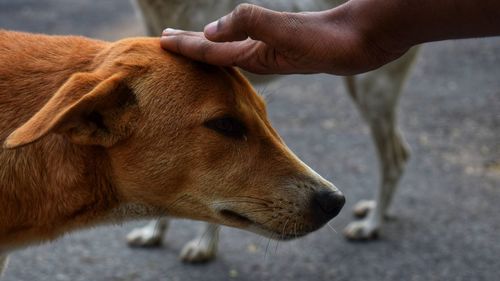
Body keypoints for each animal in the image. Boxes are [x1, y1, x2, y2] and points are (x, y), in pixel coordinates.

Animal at [128, 0, 418, 262]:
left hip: (373, 92)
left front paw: (204, 245)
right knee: (402, 152)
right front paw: (153, 231)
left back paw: (372, 225)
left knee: (393, 159)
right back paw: (377, 211)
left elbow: (213, 194)